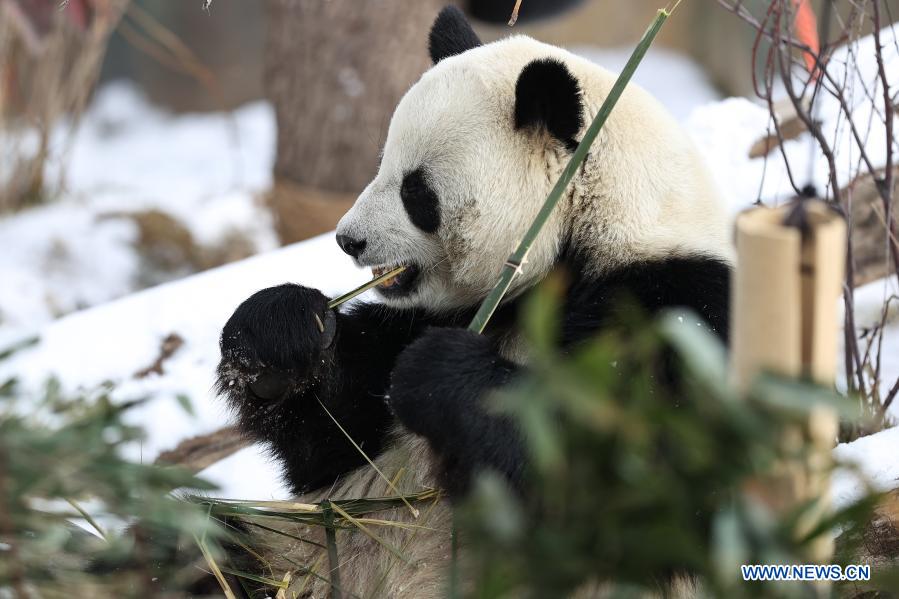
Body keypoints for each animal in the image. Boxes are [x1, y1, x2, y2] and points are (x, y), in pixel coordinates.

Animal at [216, 5, 732, 599]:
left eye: (416, 192)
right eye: (380, 162)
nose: (348, 240)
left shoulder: (676, 307)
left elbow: (641, 481)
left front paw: (441, 374)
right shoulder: (421, 319)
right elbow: (332, 441)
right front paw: (283, 330)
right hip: (302, 558)